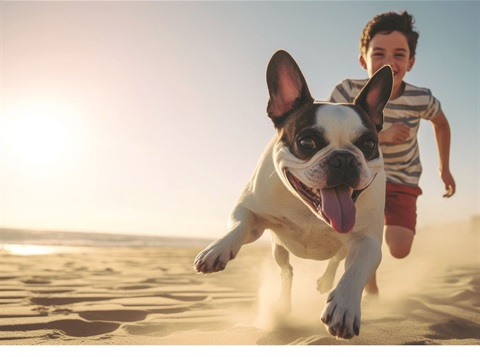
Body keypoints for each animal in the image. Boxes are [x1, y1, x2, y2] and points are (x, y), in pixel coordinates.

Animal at [193, 48, 392, 338]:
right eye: (306, 142)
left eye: (368, 145)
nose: (344, 159)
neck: (311, 211)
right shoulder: (251, 213)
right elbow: (239, 226)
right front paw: (218, 248)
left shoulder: (368, 241)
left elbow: (355, 271)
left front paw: (344, 304)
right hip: (279, 248)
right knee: (286, 271)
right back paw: (284, 304)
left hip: (343, 247)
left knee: (336, 260)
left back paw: (325, 281)